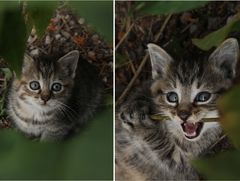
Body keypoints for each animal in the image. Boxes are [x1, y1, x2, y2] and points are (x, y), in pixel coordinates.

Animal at [116, 38, 238, 180]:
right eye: (172, 97)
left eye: (203, 97)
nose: (183, 115)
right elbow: (140, 92)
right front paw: (135, 104)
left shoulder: (186, 165)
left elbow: (166, 150)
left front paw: (143, 126)